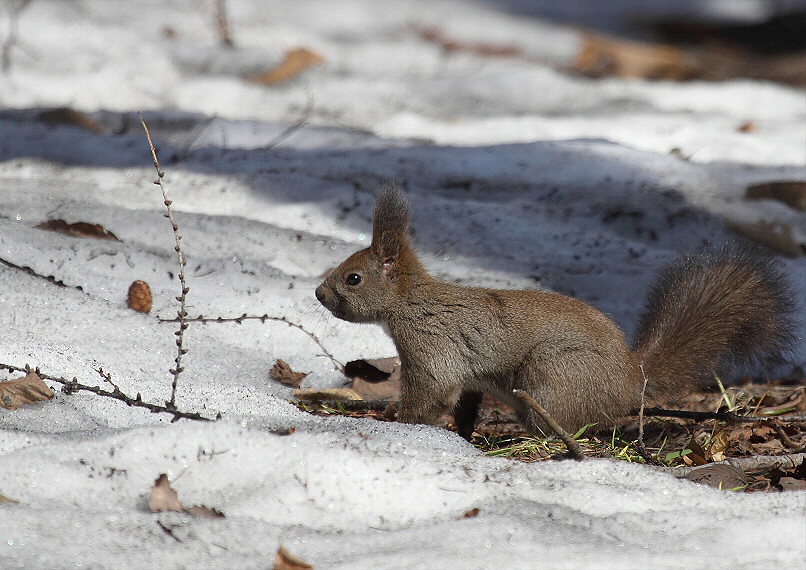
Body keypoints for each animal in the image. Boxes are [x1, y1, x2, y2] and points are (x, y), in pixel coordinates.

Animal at [314, 184, 796, 438]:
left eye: (353, 278)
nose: (318, 294)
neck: (412, 302)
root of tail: (630, 379)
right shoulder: (468, 375)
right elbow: (465, 404)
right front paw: (463, 434)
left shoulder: (432, 346)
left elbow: (432, 392)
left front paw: (405, 426)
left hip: (551, 376)